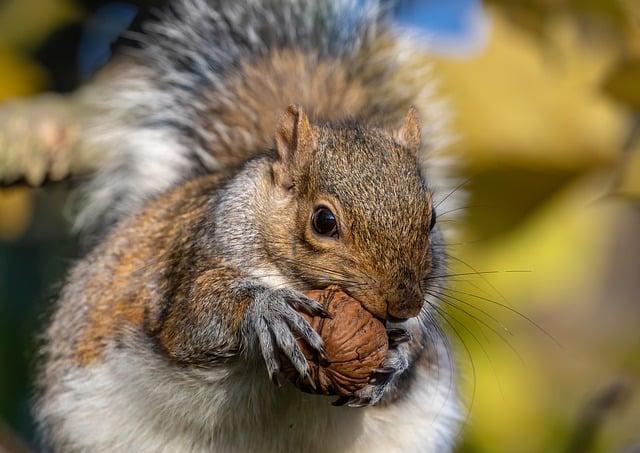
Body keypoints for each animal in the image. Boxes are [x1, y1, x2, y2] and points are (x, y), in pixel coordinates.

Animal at [33, 0, 460, 452]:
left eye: (431, 218)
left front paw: (398, 360)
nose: (405, 304)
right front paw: (266, 310)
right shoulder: (196, 258)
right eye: (324, 221)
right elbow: (193, 320)